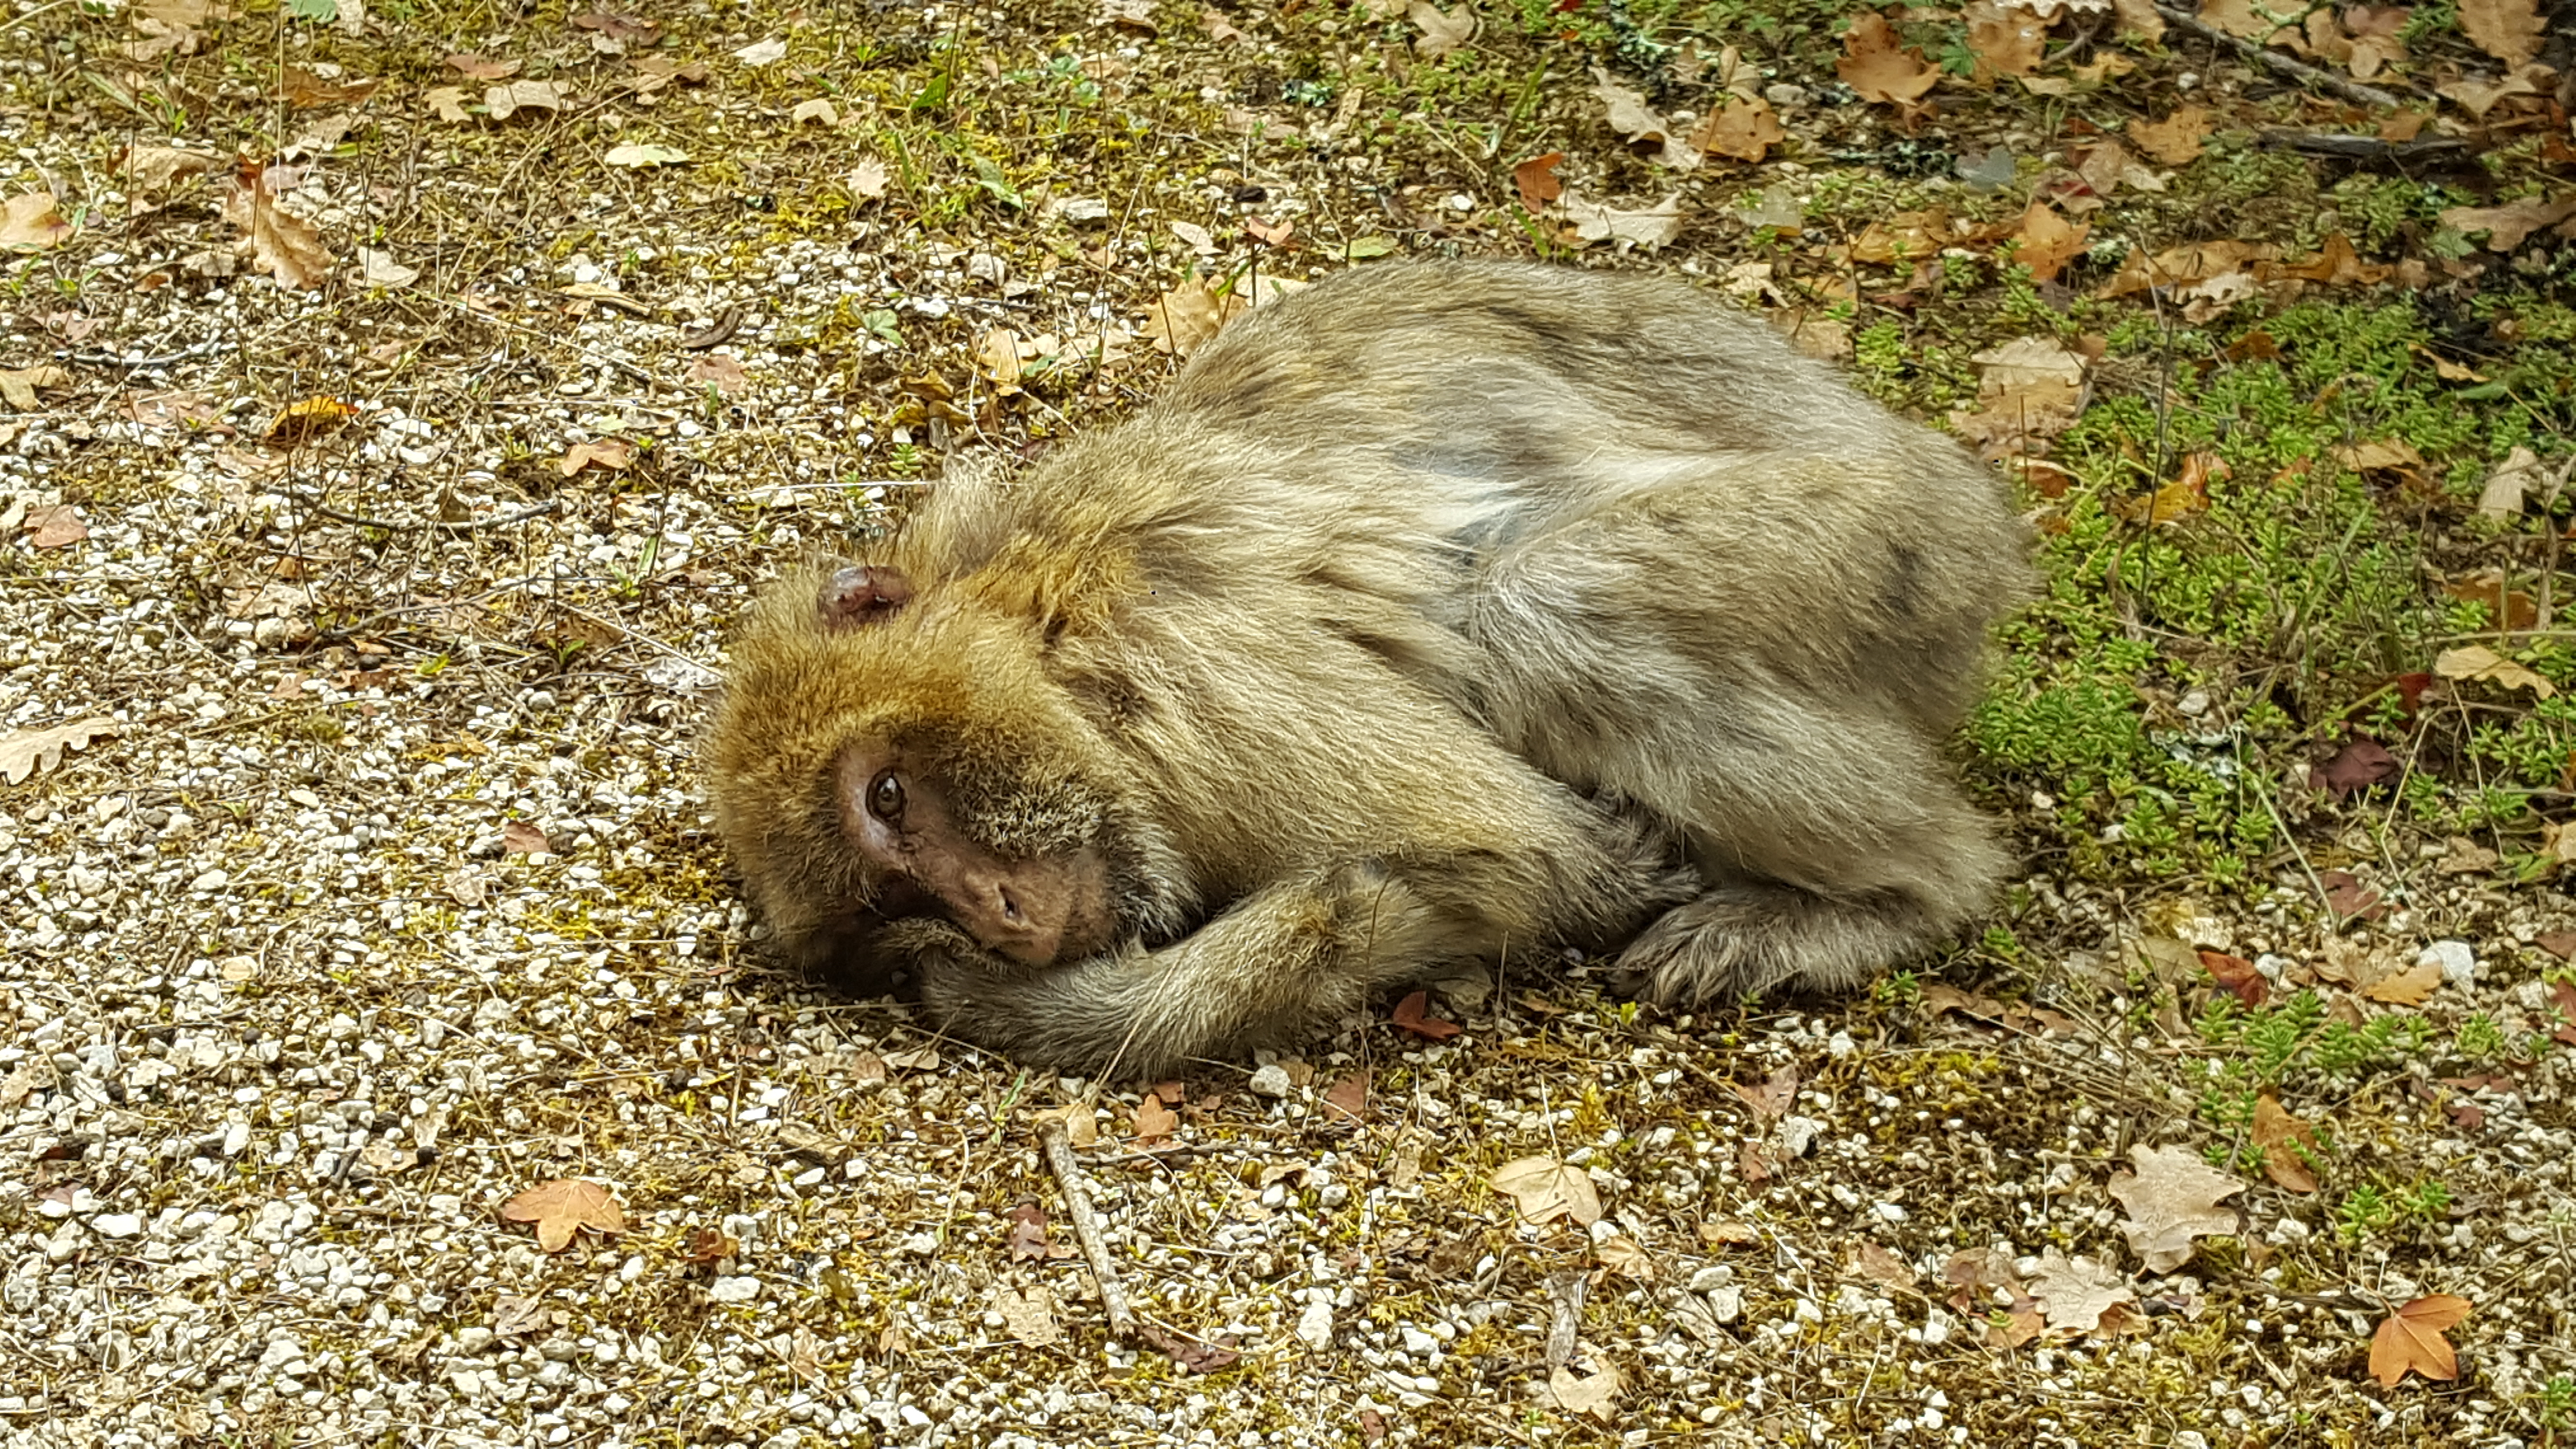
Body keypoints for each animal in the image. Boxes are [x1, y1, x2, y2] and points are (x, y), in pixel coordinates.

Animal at [706, 258, 2028, 1077]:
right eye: (884, 901)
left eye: (886, 796)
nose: (996, 914)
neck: (1046, 616)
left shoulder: (1202, 677)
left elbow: (1520, 853)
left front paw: (1045, 1012)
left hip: (1882, 547)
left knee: (1545, 615)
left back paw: (1893, 900)